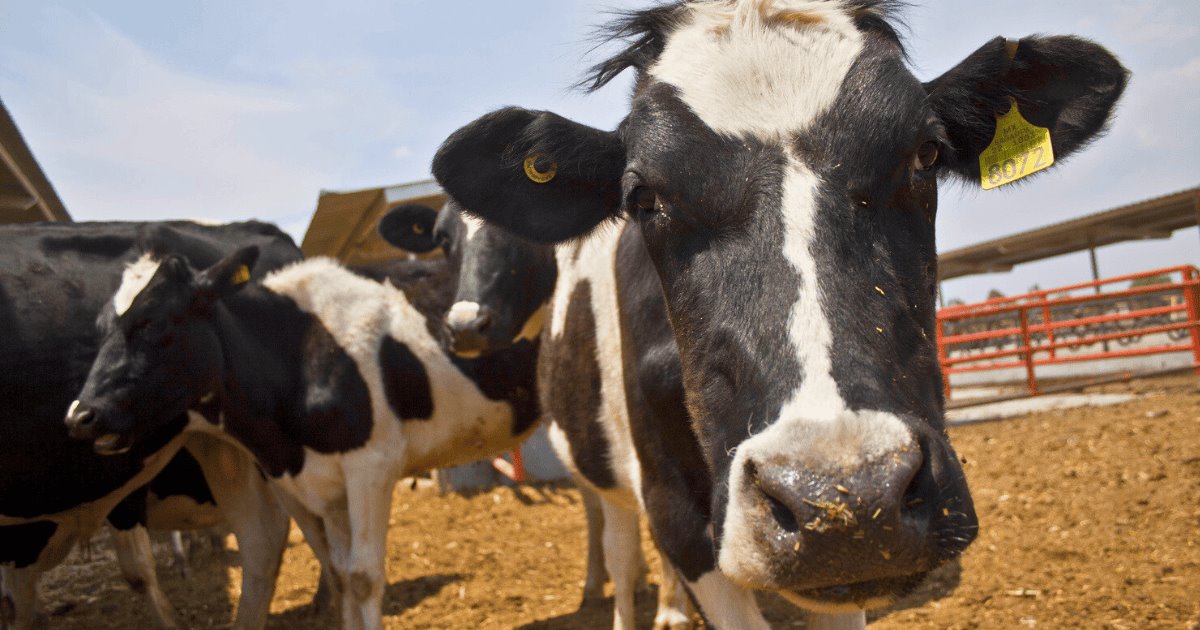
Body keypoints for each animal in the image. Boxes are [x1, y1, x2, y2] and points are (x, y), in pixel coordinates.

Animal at [63, 247, 542, 630]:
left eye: (152, 322)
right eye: (102, 329)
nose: (80, 415)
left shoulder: (372, 464)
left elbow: (363, 577)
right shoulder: (318, 484)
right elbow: (340, 572)